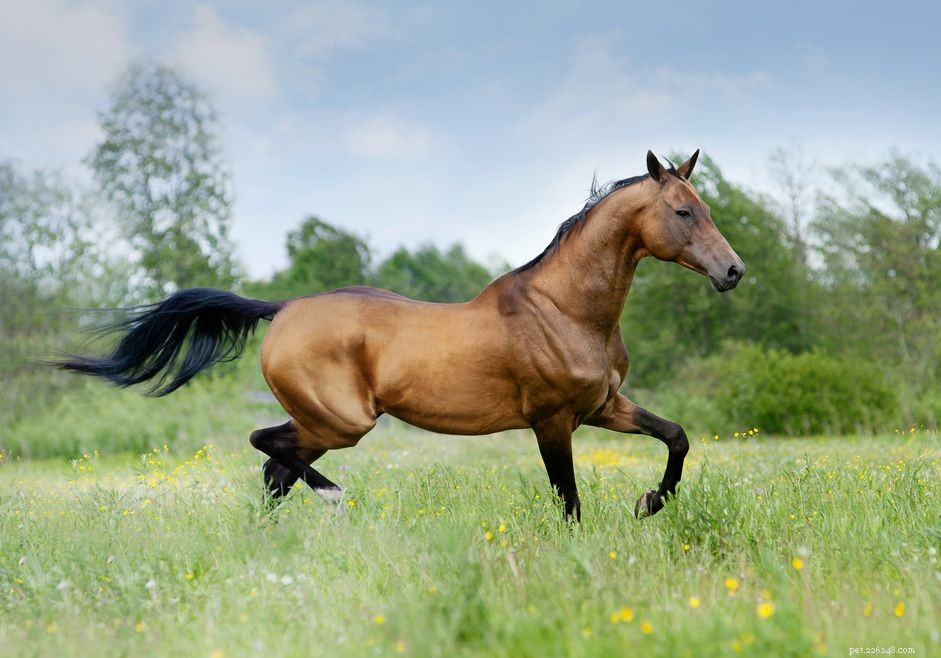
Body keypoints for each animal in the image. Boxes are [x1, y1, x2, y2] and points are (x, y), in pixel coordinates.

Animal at [60, 150, 744, 521]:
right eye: (682, 212)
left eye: (707, 208)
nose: (733, 271)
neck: (566, 311)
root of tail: (283, 309)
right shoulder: (552, 421)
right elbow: (569, 500)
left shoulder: (603, 407)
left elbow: (676, 437)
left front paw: (649, 502)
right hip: (341, 422)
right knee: (266, 446)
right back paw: (334, 499)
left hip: (324, 426)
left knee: (274, 471)